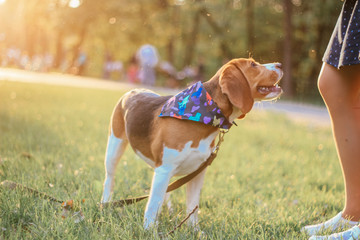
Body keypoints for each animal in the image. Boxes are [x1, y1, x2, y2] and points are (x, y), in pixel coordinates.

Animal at [100, 57, 282, 229]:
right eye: (253, 65)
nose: (280, 64)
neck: (206, 113)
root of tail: (134, 90)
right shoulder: (165, 169)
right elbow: (153, 204)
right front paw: (149, 230)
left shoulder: (197, 172)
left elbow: (193, 207)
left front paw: (195, 231)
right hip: (114, 148)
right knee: (110, 178)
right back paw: (105, 203)